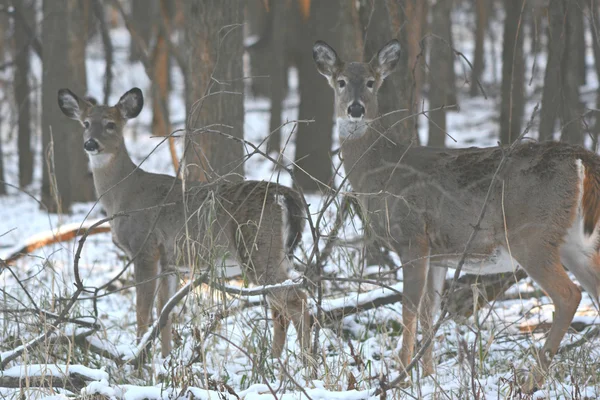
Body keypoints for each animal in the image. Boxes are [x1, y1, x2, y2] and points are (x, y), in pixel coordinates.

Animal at [56, 86, 312, 360]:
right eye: (85, 123)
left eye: (110, 124)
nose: (90, 143)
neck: (124, 195)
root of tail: (285, 195)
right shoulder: (169, 260)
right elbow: (164, 312)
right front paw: (165, 359)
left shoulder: (144, 247)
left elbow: (142, 310)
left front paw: (139, 358)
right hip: (276, 253)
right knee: (282, 306)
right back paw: (276, 361)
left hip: (258, 248)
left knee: (296, 300)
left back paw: (305, 361)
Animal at [312, 39, 600, 390]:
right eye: (340, 82)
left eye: (370, 82)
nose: (355, 109)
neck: (380, 173)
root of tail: (580, 156)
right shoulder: (437, 253)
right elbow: (429, 311)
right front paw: (428, 376)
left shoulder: (412, 237)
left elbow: (408, 308)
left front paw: (401, 375)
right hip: (575, 242)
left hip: (532, 234)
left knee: (568, 295)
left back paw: (531, 380)